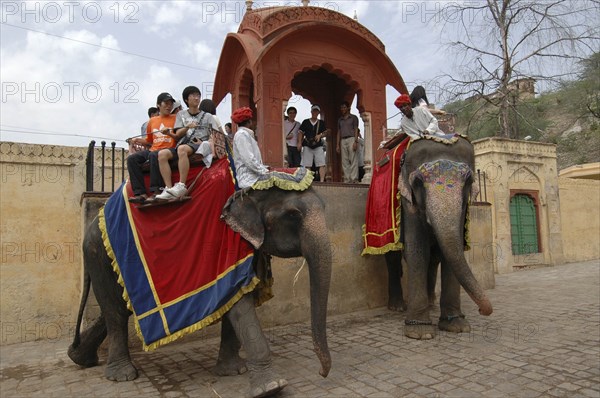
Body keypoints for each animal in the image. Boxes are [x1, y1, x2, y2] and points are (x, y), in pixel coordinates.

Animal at [69, 178, 332, 398]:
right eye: (293, 215)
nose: (321, 373)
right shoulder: (221, 249)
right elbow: (238, 300)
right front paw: (271, 388)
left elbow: (236, 297)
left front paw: (233, 372)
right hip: (98, 254)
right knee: (115, 312)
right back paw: (121, 375)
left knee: (118, 307)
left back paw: (79, 358)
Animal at [396, 137, 494, 338]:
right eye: (418, 181)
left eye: (469, 181)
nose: (482, 310)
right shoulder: (407, 202)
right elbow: (417, 251)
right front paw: (420, 332)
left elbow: (449, 253)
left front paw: (457, 325)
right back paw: (398, 307)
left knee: (433, 260)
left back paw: (431, 303)